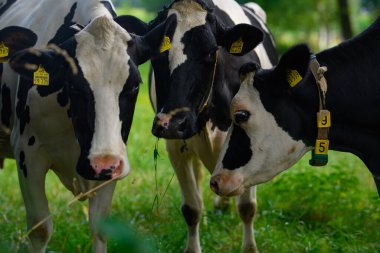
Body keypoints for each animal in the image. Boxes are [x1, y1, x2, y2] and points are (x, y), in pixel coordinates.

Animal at [0, 0, 168, 253]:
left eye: (134, 85)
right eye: (73, 85)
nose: (102, 164)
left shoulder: (114, 160)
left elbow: (100, 228)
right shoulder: (27, 155)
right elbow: (40, 229)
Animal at [123, 0, 278, 252]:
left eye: (211, 52)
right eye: (155, 53)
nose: (173, 124)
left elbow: (247, 207)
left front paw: (249, 247)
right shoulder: (176, 147)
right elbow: (191, 208)